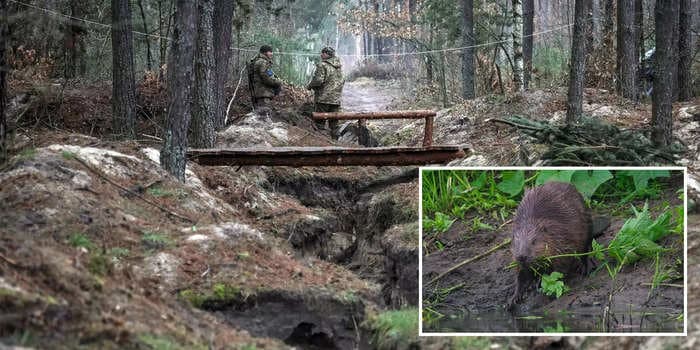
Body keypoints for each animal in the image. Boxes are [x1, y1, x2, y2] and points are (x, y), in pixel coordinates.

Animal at [506, 182, 592, 310]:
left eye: (534, 241)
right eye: (516, 242)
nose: (522, 256)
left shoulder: (562, 241)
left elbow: (560, 268)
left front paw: (543, 287)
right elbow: (520, 274)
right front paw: (513, 298)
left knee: (587, 246)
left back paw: (585, 267)